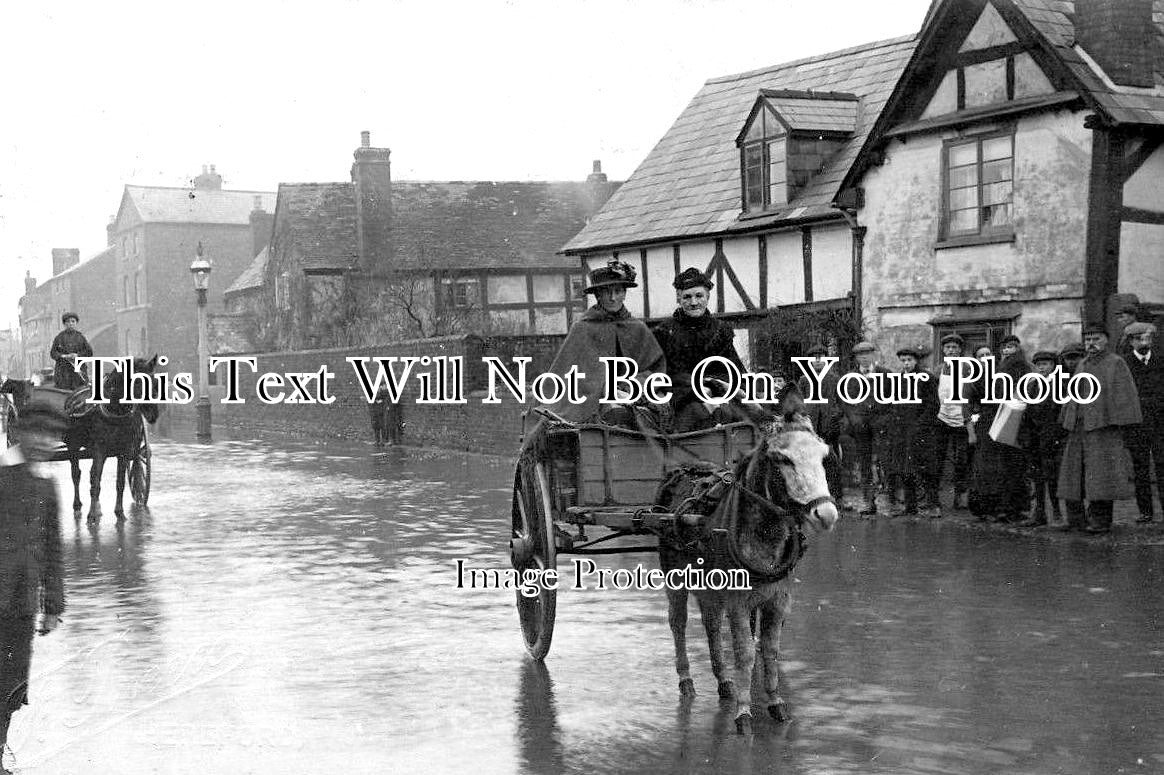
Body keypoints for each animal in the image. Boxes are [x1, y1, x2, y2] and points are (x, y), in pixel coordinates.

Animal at [67, 353, 161, 521]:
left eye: (155, 381)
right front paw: (91, 515)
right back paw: (78, 506)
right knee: (76, 474)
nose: (153, 414)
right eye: (138, 381)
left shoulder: (123, 450)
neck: (115, 409)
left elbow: (120, 482)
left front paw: (119, 512)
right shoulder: (99, 449)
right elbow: (95, 481)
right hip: (73, 446)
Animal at [656, 393, 838, 730]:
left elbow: (769, 650)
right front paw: (743, 714)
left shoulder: (778, 598)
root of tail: (681, 468)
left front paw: (776, 704)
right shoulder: (738, 600)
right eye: (783, 459)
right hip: (675, 575)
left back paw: (723, 682)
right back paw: (686, 680)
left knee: (711, 624)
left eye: (823, 456)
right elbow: (744, 653)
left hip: (709, 585)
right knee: (678, 622)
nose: (826, 514)